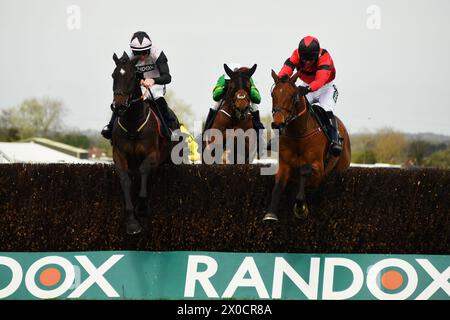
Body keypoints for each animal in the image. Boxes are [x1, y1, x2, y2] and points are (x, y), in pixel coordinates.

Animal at [264, 69, 352, 220]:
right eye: (273, 95)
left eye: (292, 96)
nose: (277, 124)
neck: (298, 134)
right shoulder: (284, 165)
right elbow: (277, 187)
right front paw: (270, 214)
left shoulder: (318, 169)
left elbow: (304, 170)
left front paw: (300, 207)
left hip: (341, 169)